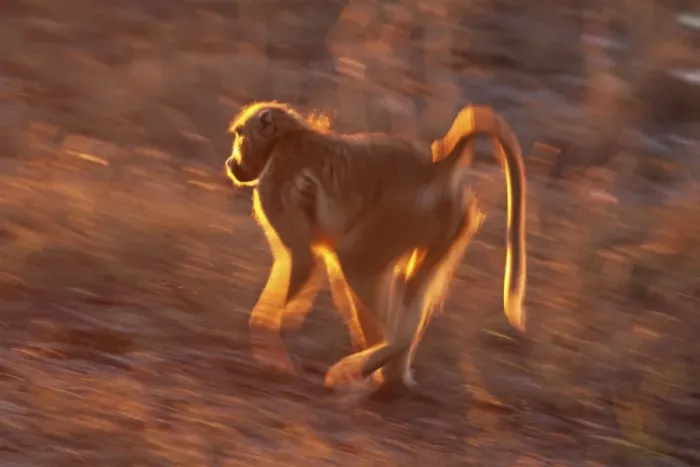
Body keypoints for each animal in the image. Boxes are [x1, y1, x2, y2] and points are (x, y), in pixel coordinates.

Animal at [224, 100, 527, 392]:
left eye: (240, 134)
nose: (230, 162)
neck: (285, 139)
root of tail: (435, 167)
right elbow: (313, 261)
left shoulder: (274, 183)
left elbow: (303, 257)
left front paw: (270, 351)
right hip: (445, 225)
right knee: (407, 285)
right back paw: (391, 377)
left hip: (393, 218)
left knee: (355, 265)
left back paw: (362, 368)